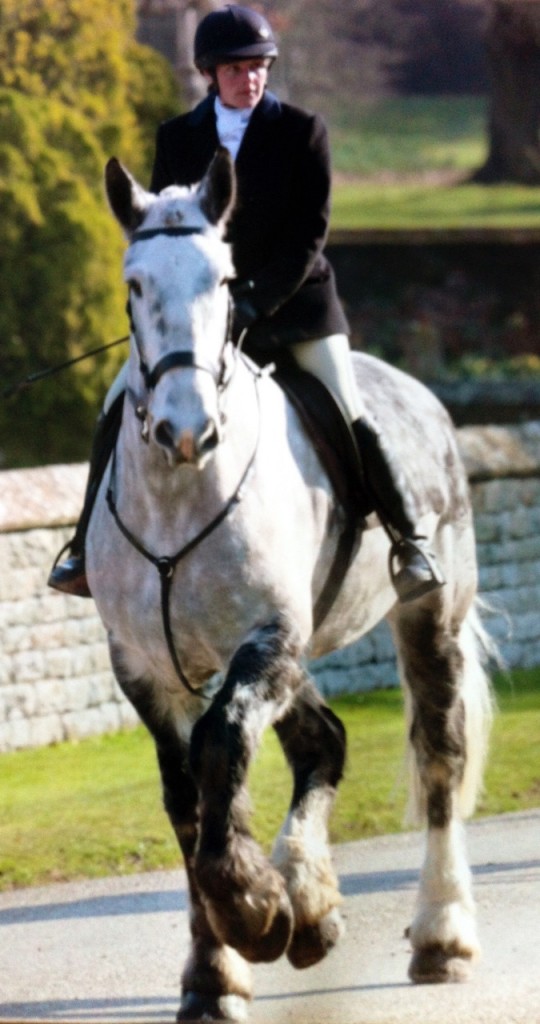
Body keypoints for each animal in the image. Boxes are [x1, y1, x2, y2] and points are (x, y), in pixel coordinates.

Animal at [86, 148, 493, 1022]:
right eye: (134, 284)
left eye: (223, 278)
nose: (186, 431)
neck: (180, 495)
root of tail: (419, 393)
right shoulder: (145, 667)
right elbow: (185, 798)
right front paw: (218, 969)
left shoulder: (267, 638)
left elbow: (222, 748)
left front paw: (252, 908)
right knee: (323, 740)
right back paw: (311, 904)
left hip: (427, 615)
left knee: (440, 756)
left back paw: (440, 934)